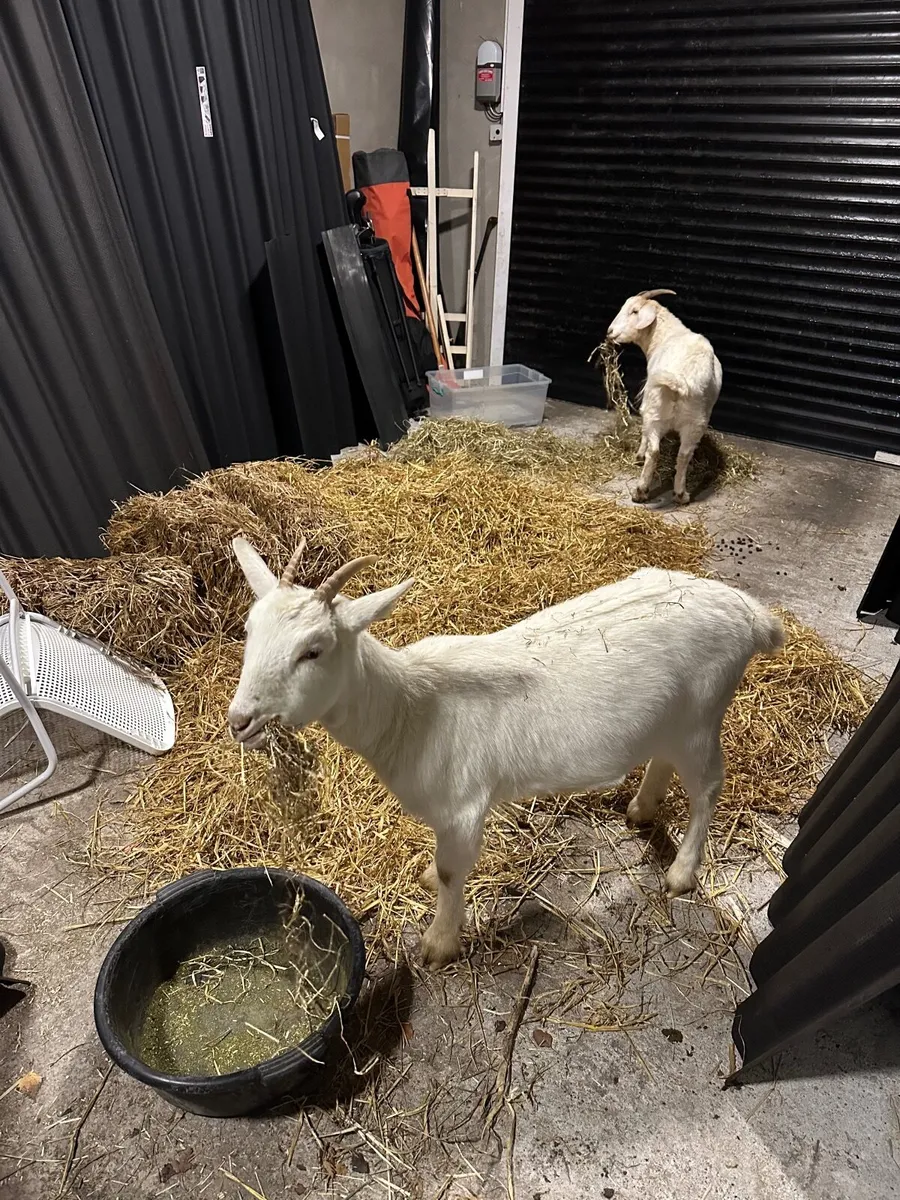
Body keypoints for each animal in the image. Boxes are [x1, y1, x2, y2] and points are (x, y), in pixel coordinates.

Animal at [228, 539, 783, 967]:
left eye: (313, 650)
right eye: (250, 631)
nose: (241, 721)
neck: (410, 708)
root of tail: (751, 614)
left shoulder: (462, 805)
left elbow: (453, 872)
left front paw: (438, 944)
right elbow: (440, 866)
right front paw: (428, 884)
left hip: (703, 713)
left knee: (708, 785)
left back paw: (681, 873)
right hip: (673, 719)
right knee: (665, 759)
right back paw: (641, 811)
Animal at [607, 289, 722, 505]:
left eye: (634, 311)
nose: (610, 332)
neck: (666, 334)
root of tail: (681, 380)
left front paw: (638, 455)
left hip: (654, 409)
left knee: (654, 451)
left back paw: (640, 491)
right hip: (697, 421)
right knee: (684, 455)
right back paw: (681, 494)